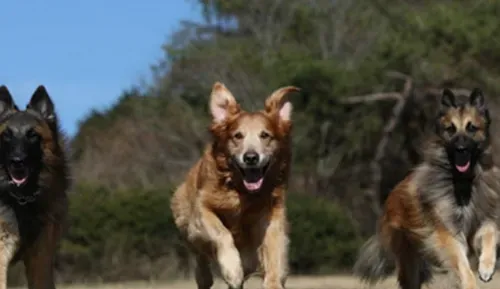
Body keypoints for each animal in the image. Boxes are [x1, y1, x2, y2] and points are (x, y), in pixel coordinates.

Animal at [170, 81, 298, 288]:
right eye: (237, 136)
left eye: (265, 135)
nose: (251, 157)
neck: (243, 192)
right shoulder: (202, 208)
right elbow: (222, 233)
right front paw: (232, 270)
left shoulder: (273, 214)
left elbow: (274, 251)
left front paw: (273, 282)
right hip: (185, 221)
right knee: (199, 255)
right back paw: (206, 277)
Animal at [354, 88, 500, 288]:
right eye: (450, 129)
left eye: (472, 128)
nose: (461, 149)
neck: (462, 182)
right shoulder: (446, 233)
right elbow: (461, 264)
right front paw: (470, 283)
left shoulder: (481, 220)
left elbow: (489, 234)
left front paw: (486, 268)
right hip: (409, 260)